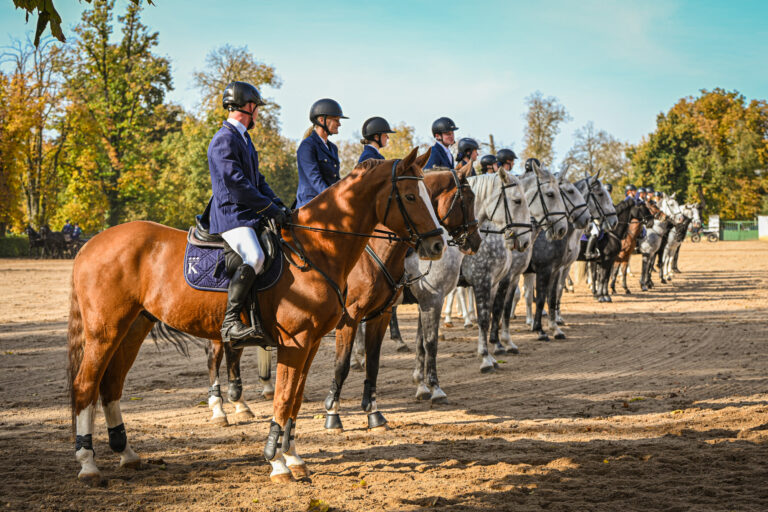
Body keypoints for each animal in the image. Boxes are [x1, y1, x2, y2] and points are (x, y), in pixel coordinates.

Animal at [69, 147, 448, 484]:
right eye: (411, 196)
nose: (438, 245)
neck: (316, 249)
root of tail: (91, 243)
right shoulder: (296, 343)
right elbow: (282, 399)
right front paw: (277, 463)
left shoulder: (310, 345)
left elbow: (294, 401)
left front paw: (293, 457)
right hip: (104, 332)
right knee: (86, 385)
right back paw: (88, 463)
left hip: (134, 328)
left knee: (111, 385)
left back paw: (126, 454)